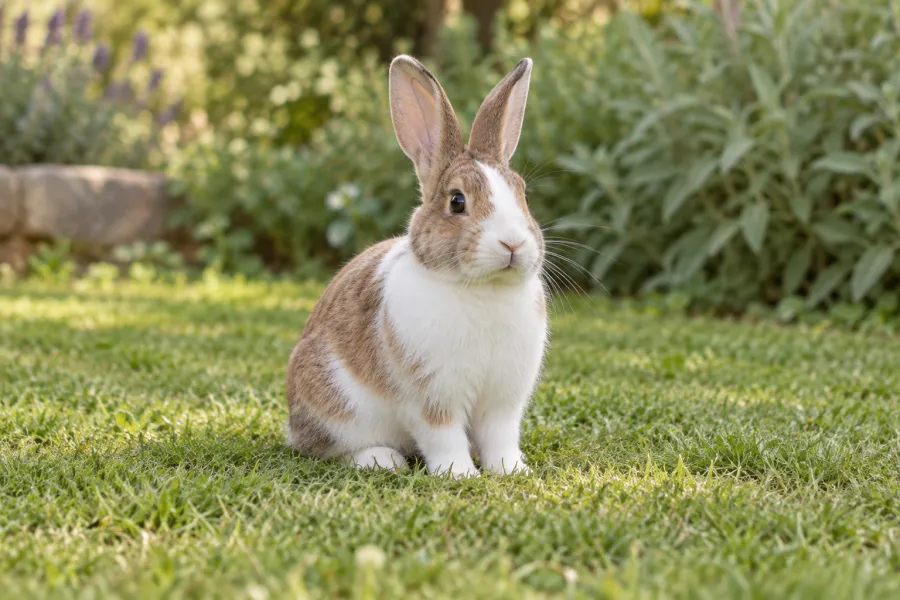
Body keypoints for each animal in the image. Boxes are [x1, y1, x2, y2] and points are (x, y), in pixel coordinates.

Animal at [286, 55, 547, 477]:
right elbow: (443, 436)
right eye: (457, 201)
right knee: (328, 449)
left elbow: (500, 438)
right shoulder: (431, 398)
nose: (513, 243)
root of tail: (292, 425)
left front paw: (512, 471)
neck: (483, 288)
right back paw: (382, 460)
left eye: (523, 194)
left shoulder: (503, 401)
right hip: (336, 407)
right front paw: (460, 475)